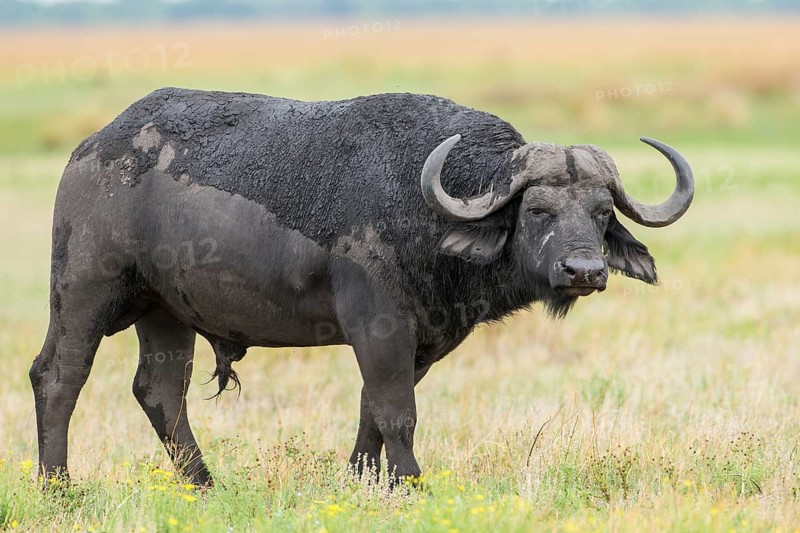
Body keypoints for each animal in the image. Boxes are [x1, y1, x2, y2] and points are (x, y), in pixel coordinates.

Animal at [30, 88, 693, 486]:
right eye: (538, 210)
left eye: (601, 213)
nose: (584, 271)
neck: (427, 209)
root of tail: (93, 148)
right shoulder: (379, 326)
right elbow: (398, 412)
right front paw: (412, 482)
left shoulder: (419, 341)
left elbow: (372, 410)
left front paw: (364, 480)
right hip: (83, 291)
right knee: (58, 376)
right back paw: (57, 485)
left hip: (165, 312)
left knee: (160, 391)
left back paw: (205, 484)